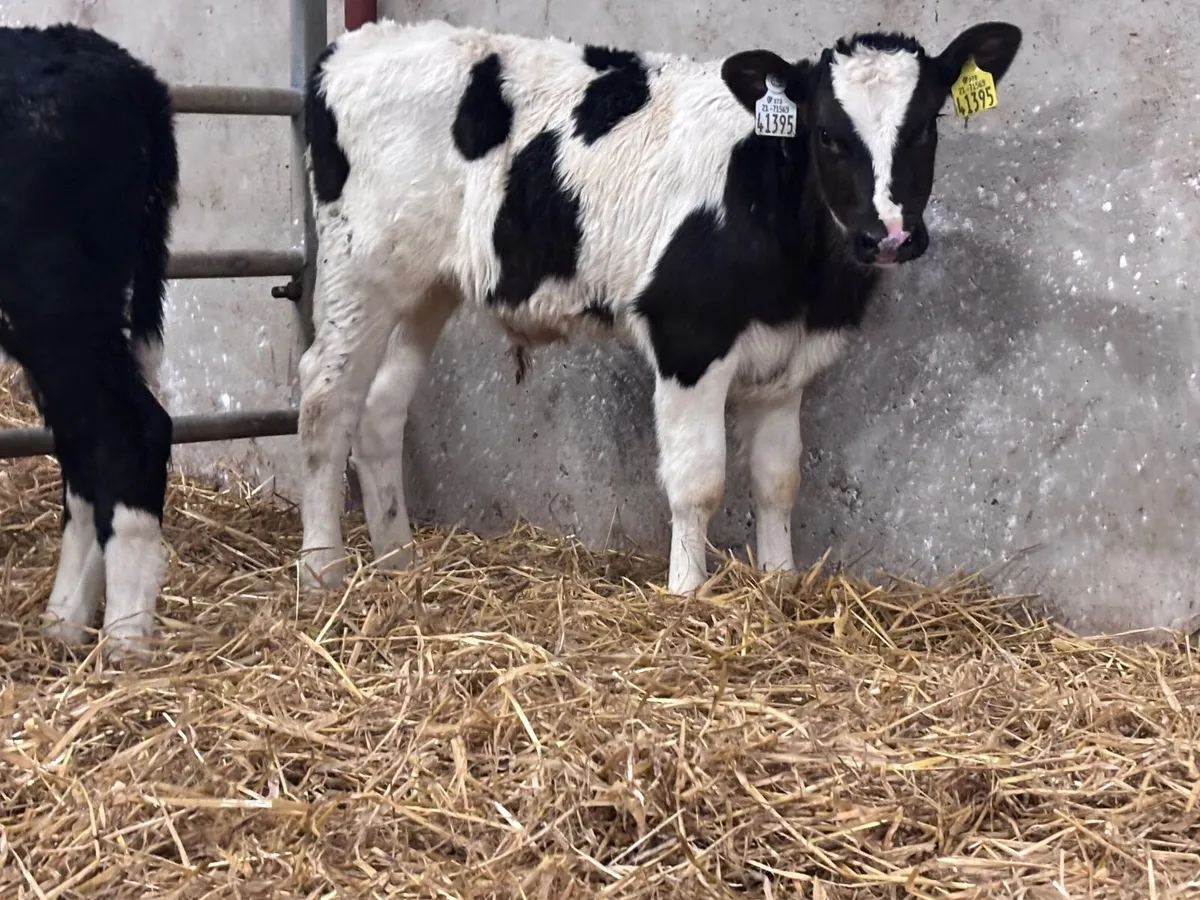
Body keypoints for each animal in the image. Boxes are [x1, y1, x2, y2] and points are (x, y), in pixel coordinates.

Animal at [296, 18, 1022, 595]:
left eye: (927, 125)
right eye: (825, 134)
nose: (889, 235)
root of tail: (357, 43)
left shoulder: (787, 360)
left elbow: (778, 478)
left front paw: (780, 582)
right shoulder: (688, 338)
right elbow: (698, 481)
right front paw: (687, 592)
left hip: (425, 289)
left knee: (380, 409)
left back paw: (397, 560)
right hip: (358, 272)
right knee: (325, 401)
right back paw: (323, 569)